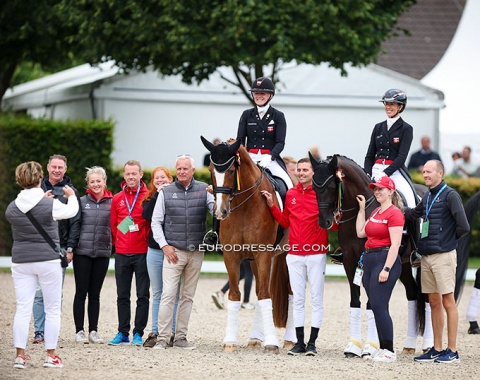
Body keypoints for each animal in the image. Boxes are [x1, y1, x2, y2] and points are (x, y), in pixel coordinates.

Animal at [200, 137, 292, 354]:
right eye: (210, 169)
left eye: (232, 170)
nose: (221, 211)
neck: (244, 206)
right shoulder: (232, 256)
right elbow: (235, 295)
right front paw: (229, 341)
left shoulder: (263, 254)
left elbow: (266, 295)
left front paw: (272, 344)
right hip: (252, 261)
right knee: (258, 290)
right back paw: (255, 338)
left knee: (291, 293)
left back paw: (289, 340)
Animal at [310, 154, 434, 356]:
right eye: (313, 187)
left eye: (330, 187)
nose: (324, 222)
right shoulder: (350, 261)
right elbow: (355, 300)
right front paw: (352, 347)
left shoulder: (369, 262)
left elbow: (371, 303)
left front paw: (369, 346)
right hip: (404, 265)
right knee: (412, 294)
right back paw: (409, 345)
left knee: (428, 297)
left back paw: (428, 346)